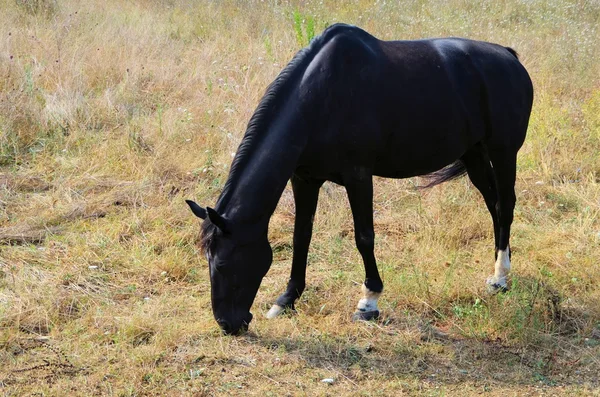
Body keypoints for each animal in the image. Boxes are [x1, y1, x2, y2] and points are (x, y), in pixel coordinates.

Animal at [186, 23, 536, 334]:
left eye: (223, 264)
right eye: (208, 261)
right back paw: (496, 270)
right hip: (474, 154)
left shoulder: (358, 177)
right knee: (493, 205)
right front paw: (286, 299)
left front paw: (369, 301)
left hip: (504, 151)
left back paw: (501, 277)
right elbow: (302, 236)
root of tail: (509, 56)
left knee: (505, 205)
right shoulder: (304, 178)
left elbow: (364, 237)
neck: (320, 97)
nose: (228, 324)